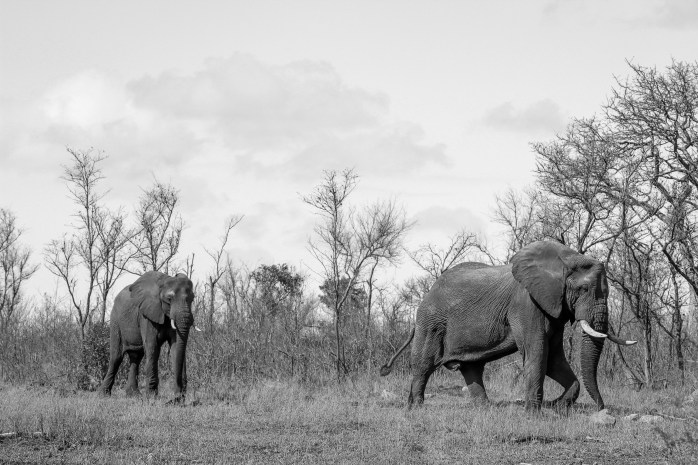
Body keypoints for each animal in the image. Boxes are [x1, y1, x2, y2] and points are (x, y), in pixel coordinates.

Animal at [100, 271, 196, 402]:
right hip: (115, 321)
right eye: (169, 299)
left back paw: (134, 395)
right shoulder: (146, 315)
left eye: (192, 299)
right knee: (116, 357)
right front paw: (151, 398)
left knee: (136, 357)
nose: (177, 397)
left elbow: (176, 347)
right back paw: (103, 395)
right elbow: (152, 346)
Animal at [380, 241, 636, 411]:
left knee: (472, 367)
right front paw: (534, 413)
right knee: (424, 364)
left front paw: (555, 406)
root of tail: (428, 291)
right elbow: (538, 352)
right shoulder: (526, 303)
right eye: (583, 289)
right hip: (431, 322)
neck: (564, 259)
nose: (603, 408)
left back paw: (485, 409)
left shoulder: (553, 308)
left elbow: (553, 358)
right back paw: (415, 408)